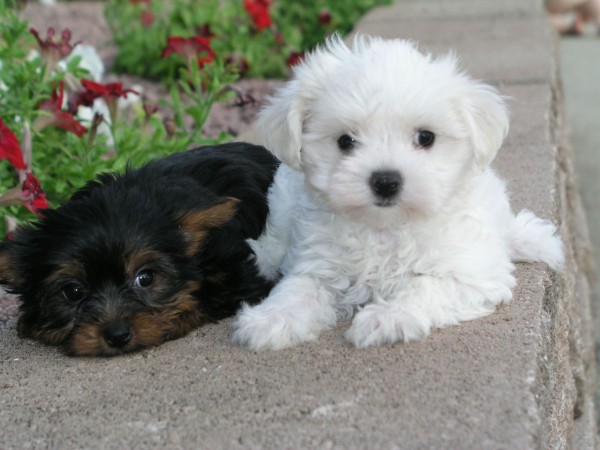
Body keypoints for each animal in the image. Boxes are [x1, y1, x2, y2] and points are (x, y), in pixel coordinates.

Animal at [232, 36, 564, 352]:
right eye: (345, 141)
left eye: (425, 137)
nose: (386, 181)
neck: (386, 227)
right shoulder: (318, 264)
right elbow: (298, 289)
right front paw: (272, 318)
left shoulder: (470, 274)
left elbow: (425, 287)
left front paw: (387, 317)